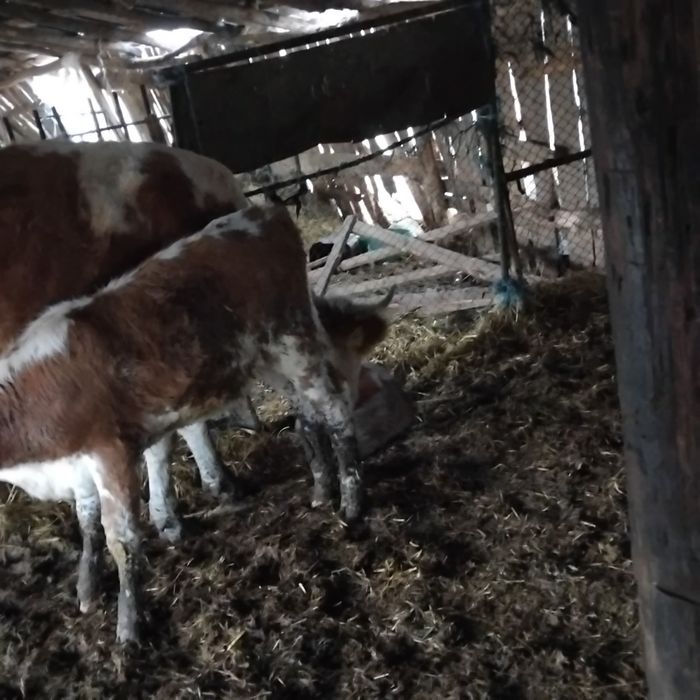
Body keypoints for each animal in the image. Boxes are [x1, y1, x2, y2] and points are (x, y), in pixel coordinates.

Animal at [0, 204, 389, 643]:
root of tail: (261, 211)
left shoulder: (111, 453)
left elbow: (123, 541)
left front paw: (128, 627)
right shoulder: (78, 466)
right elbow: (87, 526)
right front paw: (87, 591)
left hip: (294, 340)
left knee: (334, 410)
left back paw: (352, 502)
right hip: (269, 358)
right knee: (307, 415)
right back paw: (322, 491)